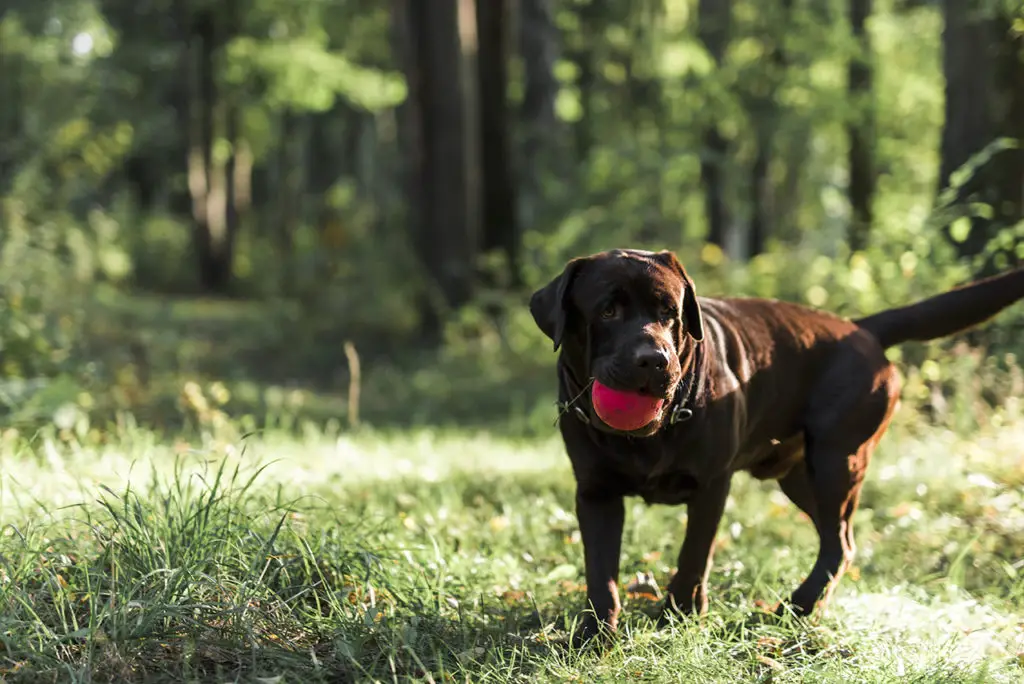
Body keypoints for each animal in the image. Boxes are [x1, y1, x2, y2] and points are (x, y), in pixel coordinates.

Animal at [528, 249, 1024, 643]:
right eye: (607, 311)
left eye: (671, 312)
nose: (655, 359)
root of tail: (860, 328)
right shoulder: (595, 493)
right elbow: (601, 572)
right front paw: (596, 637)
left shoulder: (711, 486)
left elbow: (693, 557)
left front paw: (678, 617)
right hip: (800, 476)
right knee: (839, 540)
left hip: (837, 460)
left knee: (836, 544)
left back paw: (796, 607)